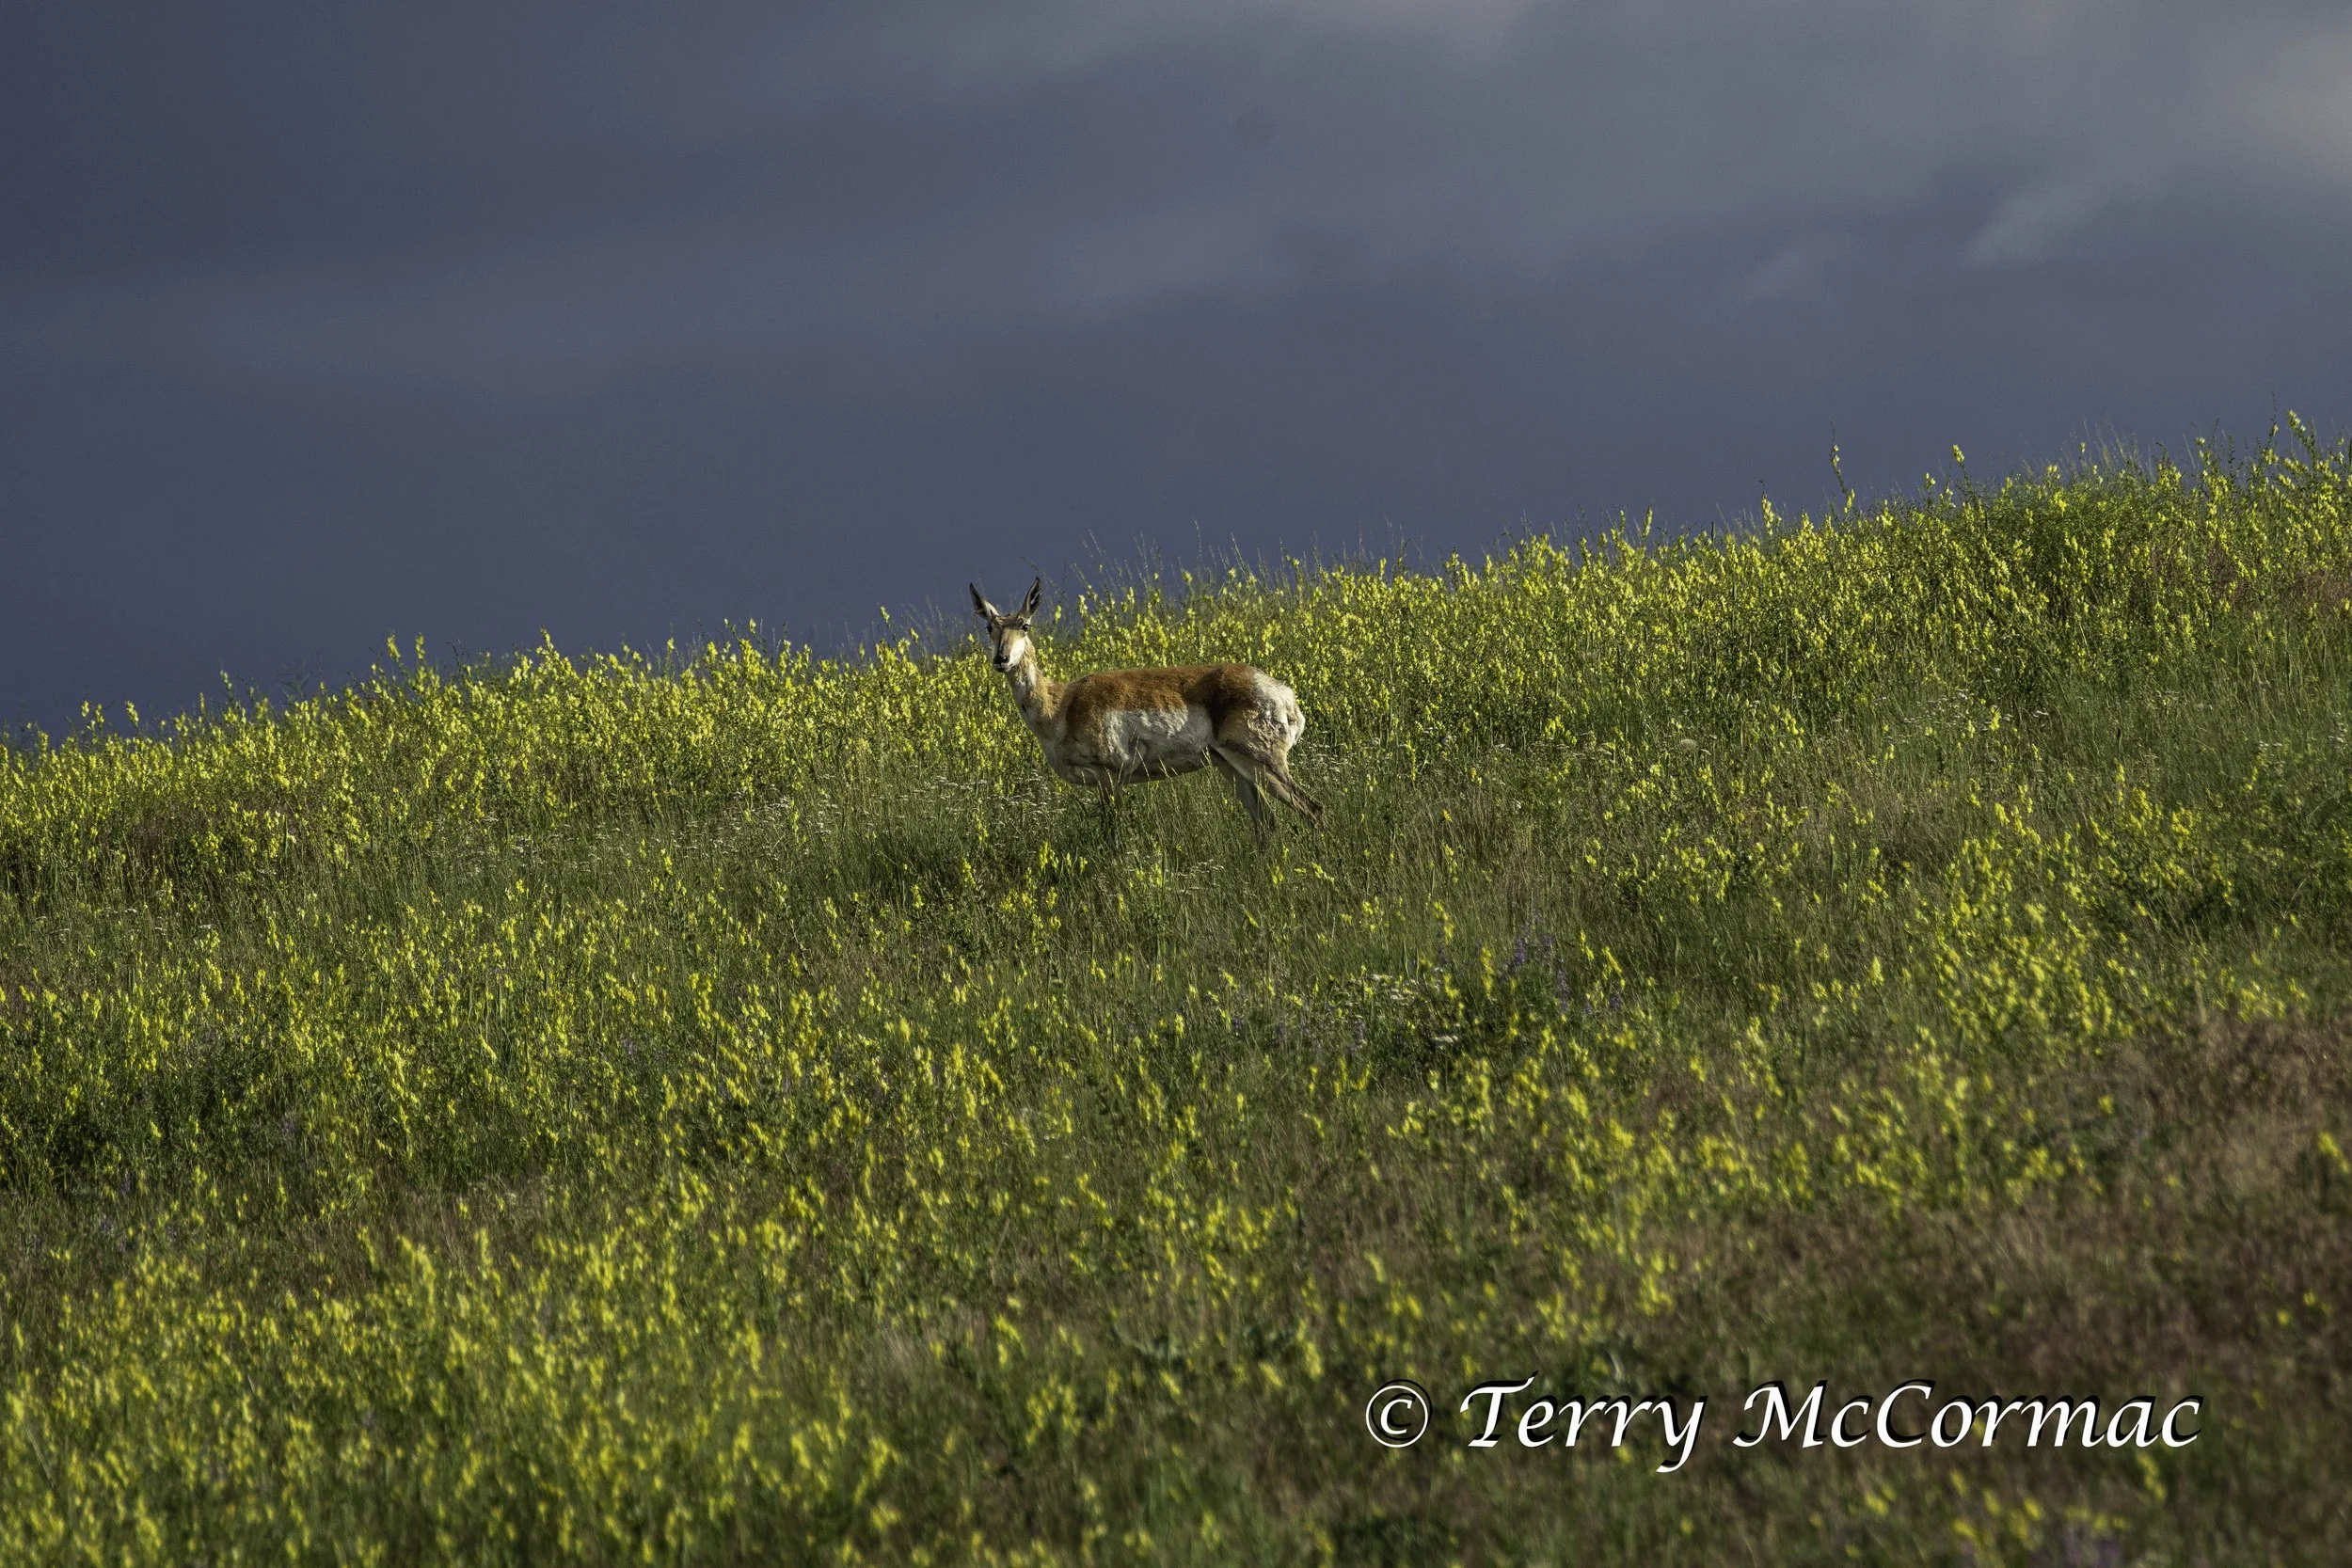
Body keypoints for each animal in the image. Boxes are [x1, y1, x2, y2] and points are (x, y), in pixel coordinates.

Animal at [970, 577, 1324, 835]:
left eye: (1025, 625)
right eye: (990, 627)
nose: (1001, 659)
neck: (1062, 705)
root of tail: (1284, 694)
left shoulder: (1109, 776)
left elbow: (1112, 835)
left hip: (1262, 762)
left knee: (1312, 808)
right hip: (1233, 766)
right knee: (1267, 822)